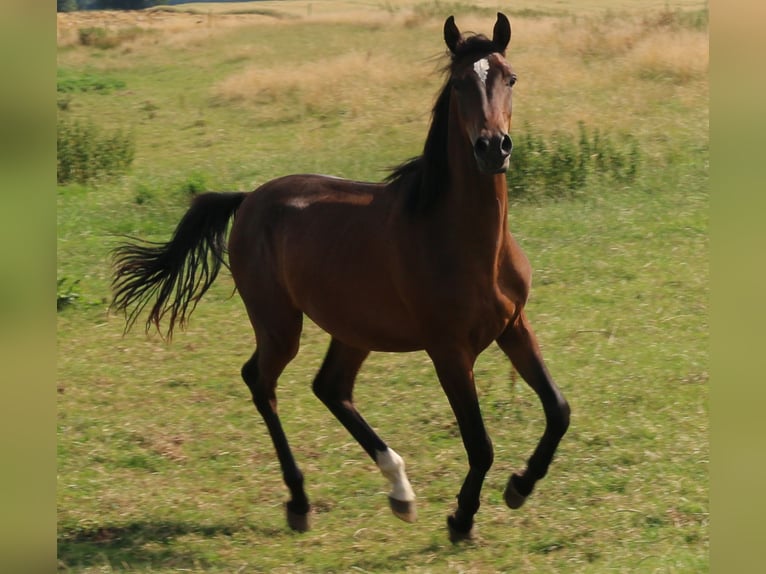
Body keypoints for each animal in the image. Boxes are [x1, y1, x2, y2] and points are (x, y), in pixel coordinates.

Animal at [112, 13, 568, 544]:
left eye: (510, 78)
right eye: (458, 83)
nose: (493, 148)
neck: (465, 239)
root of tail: (249, 199)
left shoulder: (514, 326)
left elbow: (558, 410)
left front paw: (520, 487)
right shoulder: (449, 351)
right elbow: (480, 443)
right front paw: (462, 518)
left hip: (353, 330)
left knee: (330, 387)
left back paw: (400, 491)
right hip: (279, 326)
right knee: (261, 381)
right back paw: (300, 502)